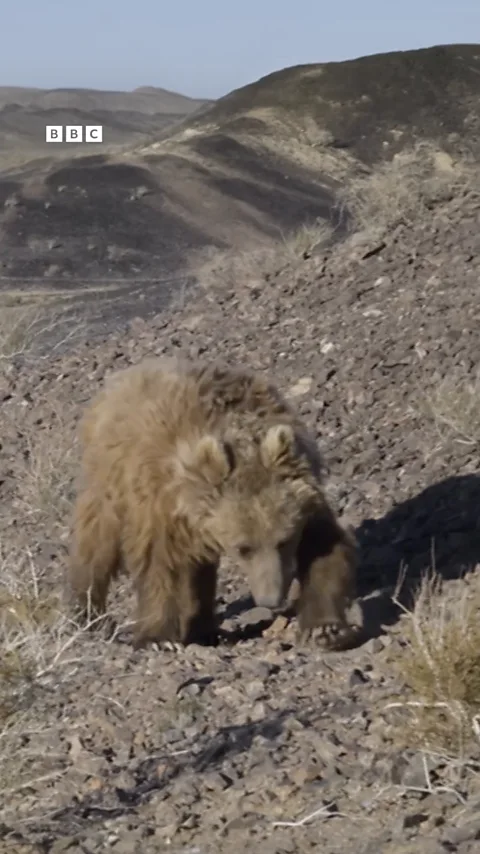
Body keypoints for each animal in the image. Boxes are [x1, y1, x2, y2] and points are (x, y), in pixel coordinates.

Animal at [67, 357, 358, 650]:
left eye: (284, 541)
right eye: (243, 548)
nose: (271, 600)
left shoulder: (305, 499)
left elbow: (323, 547)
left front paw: (324, 628)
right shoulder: (162, 502)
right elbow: (161, 564)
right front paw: (158, 638)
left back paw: (203, 627)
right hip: (107, 481)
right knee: (97, 542)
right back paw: (85, 613)